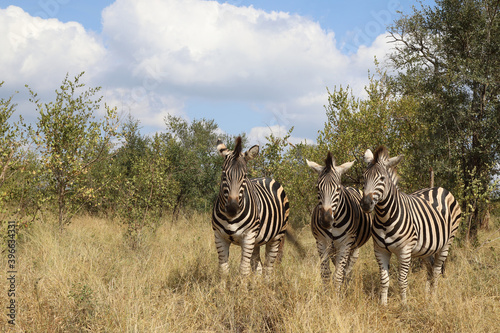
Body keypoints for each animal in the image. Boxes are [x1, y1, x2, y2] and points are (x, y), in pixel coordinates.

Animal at [211, 136, 290, 276]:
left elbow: (243, 270)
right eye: (224, 174)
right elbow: (223, 270)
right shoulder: (219, 237)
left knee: (268, 267)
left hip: (277, 237)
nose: (232, 208)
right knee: (258, 266)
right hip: (257, 240)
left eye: (245, 176)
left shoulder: (248, 237)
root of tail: (267, 177)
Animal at [306, 152, 374, 290]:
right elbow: (326, 274)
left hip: (354, 247)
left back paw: (345, 287)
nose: (326, 220)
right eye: (317, 188)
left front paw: (338, 294)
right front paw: (327, 294)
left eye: (337, 189)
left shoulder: (345, 244)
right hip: (334, 249)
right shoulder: (322, 243)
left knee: (347, 269)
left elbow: (338, 275)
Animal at [360, 145, 460, 304]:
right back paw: (426, 295)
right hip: (427, 248)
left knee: (436, 270)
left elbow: (402, 280)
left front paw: (404, 304)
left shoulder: (405, 251)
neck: (384, 217)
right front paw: (383, 304)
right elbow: (384, 280)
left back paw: (433, 297)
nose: (365, 204)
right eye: (364, 177)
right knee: (430, 268)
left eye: (382, 178)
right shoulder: (380, 250)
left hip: (447, 243)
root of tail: (439, 188)